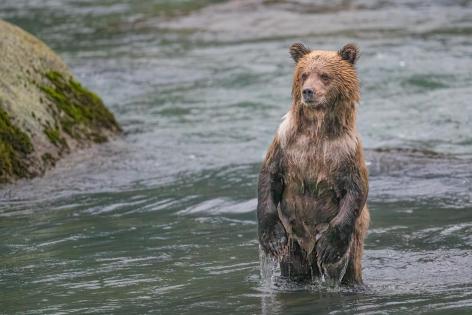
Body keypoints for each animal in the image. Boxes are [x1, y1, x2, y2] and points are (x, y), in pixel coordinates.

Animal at [256, 42, 370, 286]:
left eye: (325, 76)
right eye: (304, 74)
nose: (308, 91)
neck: (316, 131)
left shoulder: (346, 153)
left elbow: (356, 190)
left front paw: (329, 247)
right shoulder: (285, 144)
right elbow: (269, 176)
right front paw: (271, 239)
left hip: (353, 247)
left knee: (348, 272)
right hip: (295, 244)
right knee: (294, 268)